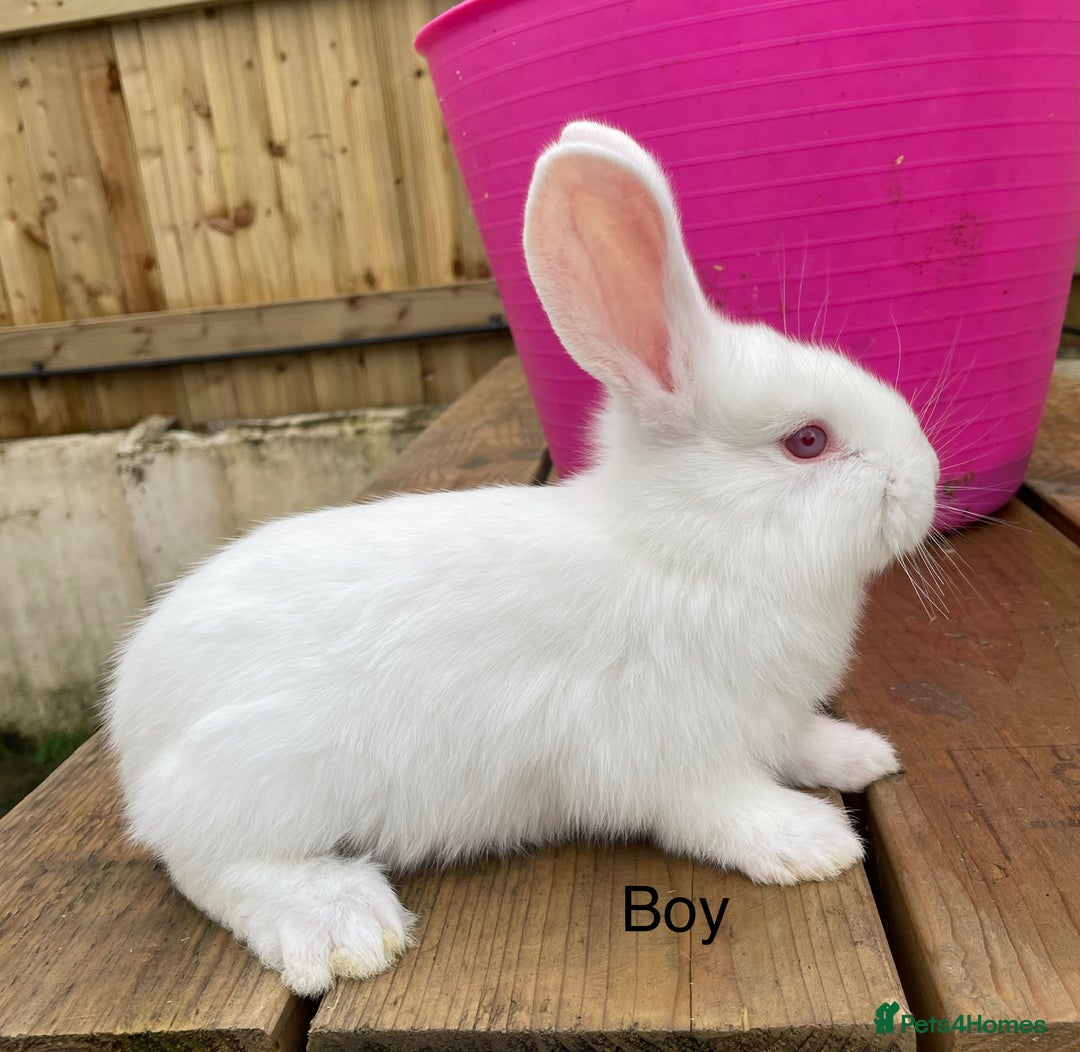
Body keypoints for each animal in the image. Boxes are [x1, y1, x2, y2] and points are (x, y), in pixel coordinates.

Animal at [105, 119, 939, 997]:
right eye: (807, 441)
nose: (926, 478)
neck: (688, 548)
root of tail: (133, 736)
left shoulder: (766, 718)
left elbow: (798, 742)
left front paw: (860, 755)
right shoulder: (667, 753)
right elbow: (717, 810)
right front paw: (812, 842)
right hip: (254, 785)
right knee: (209, 867)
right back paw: (341, 924)